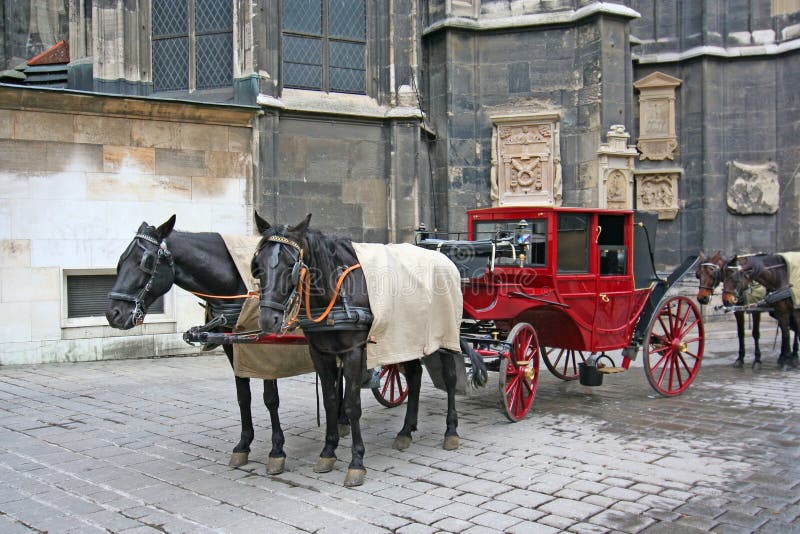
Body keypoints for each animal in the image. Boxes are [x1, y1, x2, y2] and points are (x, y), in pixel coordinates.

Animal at [106, 215, 297, 474]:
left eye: (145, 261)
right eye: (121, 260)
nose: (113, 313)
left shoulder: (265, 346)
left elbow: (270, 399)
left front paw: (277, 449)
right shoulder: (232, 346)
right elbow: (243, 396)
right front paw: (243, 444)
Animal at [250, 213, 488, 487]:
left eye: (292, 265)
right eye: (257, 264)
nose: (267, 320)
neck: (336, 291)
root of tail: (444, 261)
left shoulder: (354, 352)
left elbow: (352, 405)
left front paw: (356, 462)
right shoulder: (320, 353)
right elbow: (331, 401)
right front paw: (328, 452)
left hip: (443, 336)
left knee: (449, 379)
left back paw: (450, 431)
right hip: (405, 339)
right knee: (415, 377)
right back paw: (406, 431)